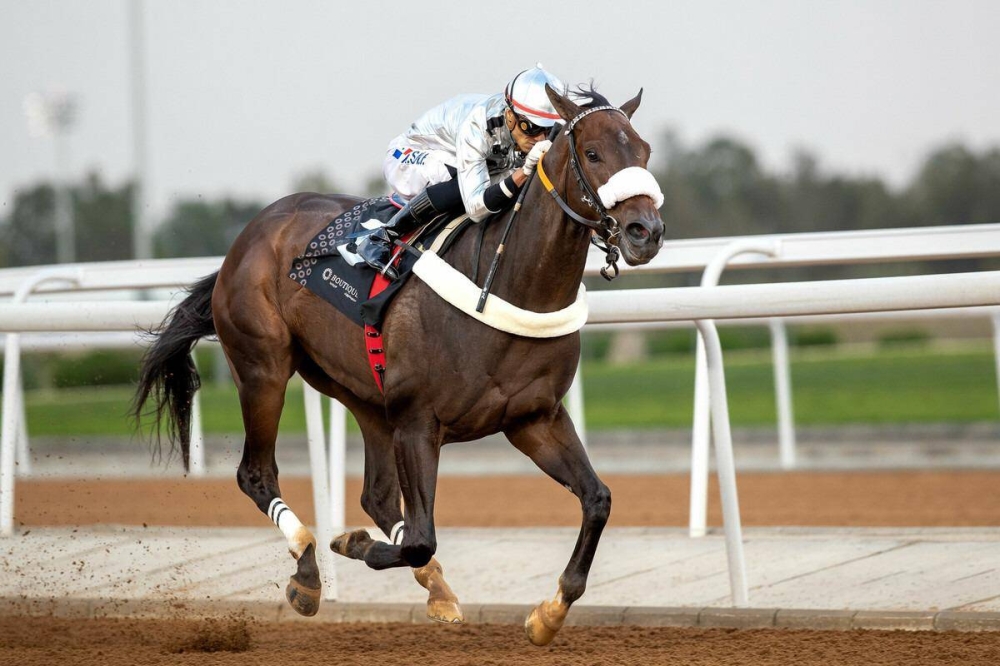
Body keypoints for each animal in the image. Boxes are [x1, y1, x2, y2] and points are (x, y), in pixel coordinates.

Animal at [133, 83, 664, 644]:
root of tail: (248, 236)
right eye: (593, 153)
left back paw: (435, 588)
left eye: (645, 151)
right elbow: (420, 538)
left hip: (363, 394)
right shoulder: (418, 422)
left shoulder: (533, 419)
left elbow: (597, 499)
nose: (645, 231)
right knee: (256, 475)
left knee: (378, 496)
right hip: (263, 368)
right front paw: (352, 544)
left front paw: (550, 612)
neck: (508, 283)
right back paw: (308, 570)